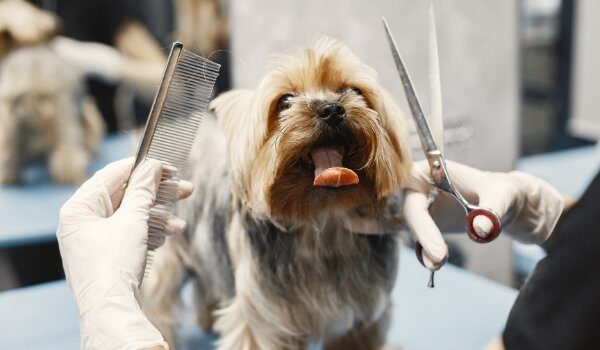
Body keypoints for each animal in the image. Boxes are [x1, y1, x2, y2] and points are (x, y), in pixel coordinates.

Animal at [142, 37, 410, 348]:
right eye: (284, 101)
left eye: (354, 91)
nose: (332, 109)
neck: (322, 220)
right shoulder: (263, 319)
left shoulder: (364, 319)